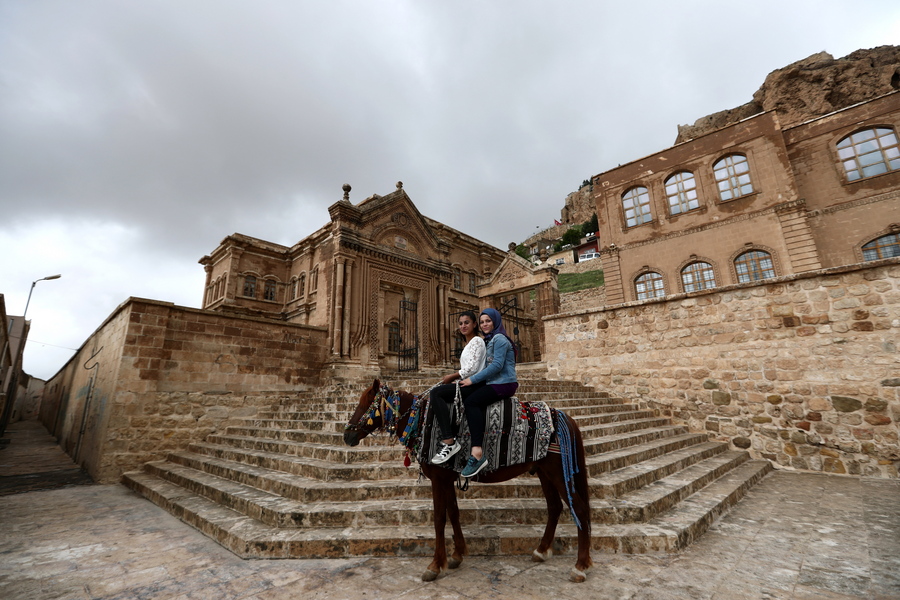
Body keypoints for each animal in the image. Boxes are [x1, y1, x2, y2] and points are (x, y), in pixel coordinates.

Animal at [342, 380, 592, 580]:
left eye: (365, 404)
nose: (347, 435)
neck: (423, 420)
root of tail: (565, 418)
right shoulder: (446, 476)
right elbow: (453, 512)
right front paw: (457, 555)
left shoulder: (438, 477)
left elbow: (439, 518)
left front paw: (435, 565)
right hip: (543, 470)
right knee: (555, 507)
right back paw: (542, 550)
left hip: (557, 470)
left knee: (579, 509)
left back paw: (580, 566)